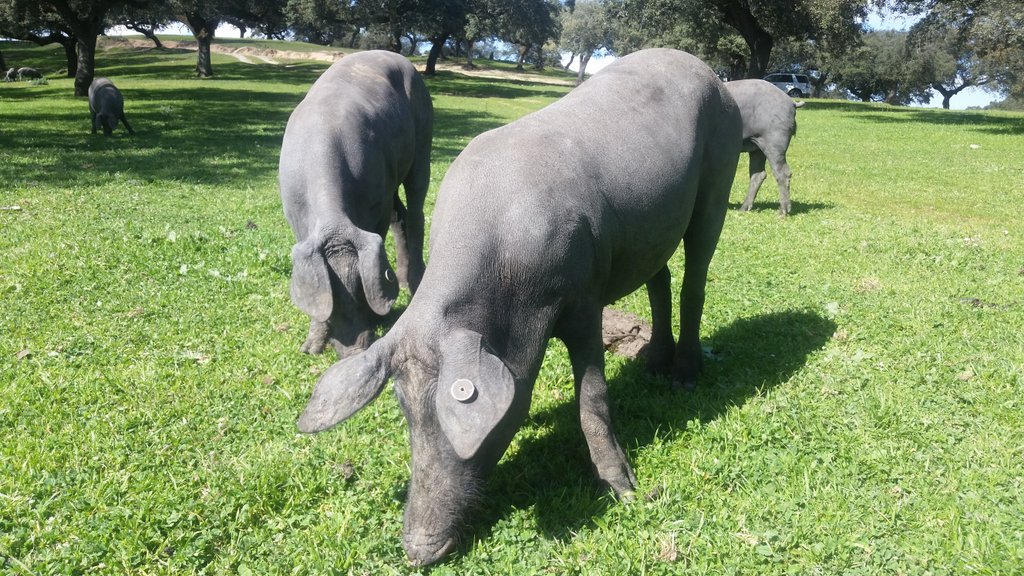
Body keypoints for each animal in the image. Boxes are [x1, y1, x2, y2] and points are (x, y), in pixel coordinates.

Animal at [279, 50, 432, 359]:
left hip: (423, 140)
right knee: (401, 216)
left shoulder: (377, 203)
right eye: (334, 302)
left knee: (415, 210)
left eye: (362, 293)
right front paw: (309, 349)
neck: (334, 220)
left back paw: (413, 286)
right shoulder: (296, 217)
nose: (355, 352)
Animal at [296, 48, 742, 565]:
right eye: (405, 412)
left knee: (695, 276)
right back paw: (652, 364)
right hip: (652, 226)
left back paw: (684, 377)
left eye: (459, 425)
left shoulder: (584, 298)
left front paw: (625, 491)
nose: (418, 550)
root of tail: (703, 68)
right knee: (661, 278)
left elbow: (592, 397)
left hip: (719, 171)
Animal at [725, 78, 802, 216]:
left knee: (783, 173)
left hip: (774, 140)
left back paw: (782, 212)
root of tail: (791, 102)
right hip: (757, 145)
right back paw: (743, 208)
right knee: (758, 174)